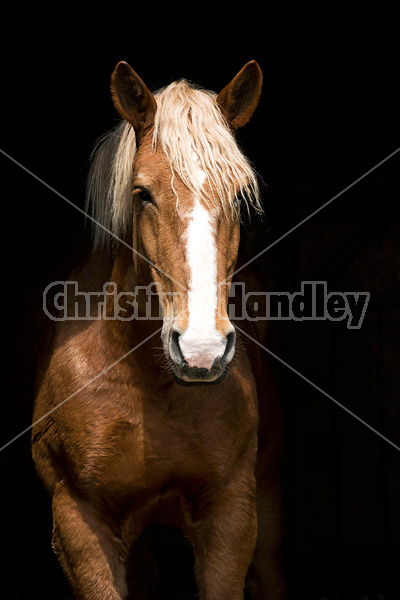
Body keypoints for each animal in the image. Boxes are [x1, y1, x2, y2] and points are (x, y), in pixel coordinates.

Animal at [32, 61, 286, 600]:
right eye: (142, 193)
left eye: (239, 197)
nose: (201, 349)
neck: (152, 384)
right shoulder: (79, 522)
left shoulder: (232, 515)